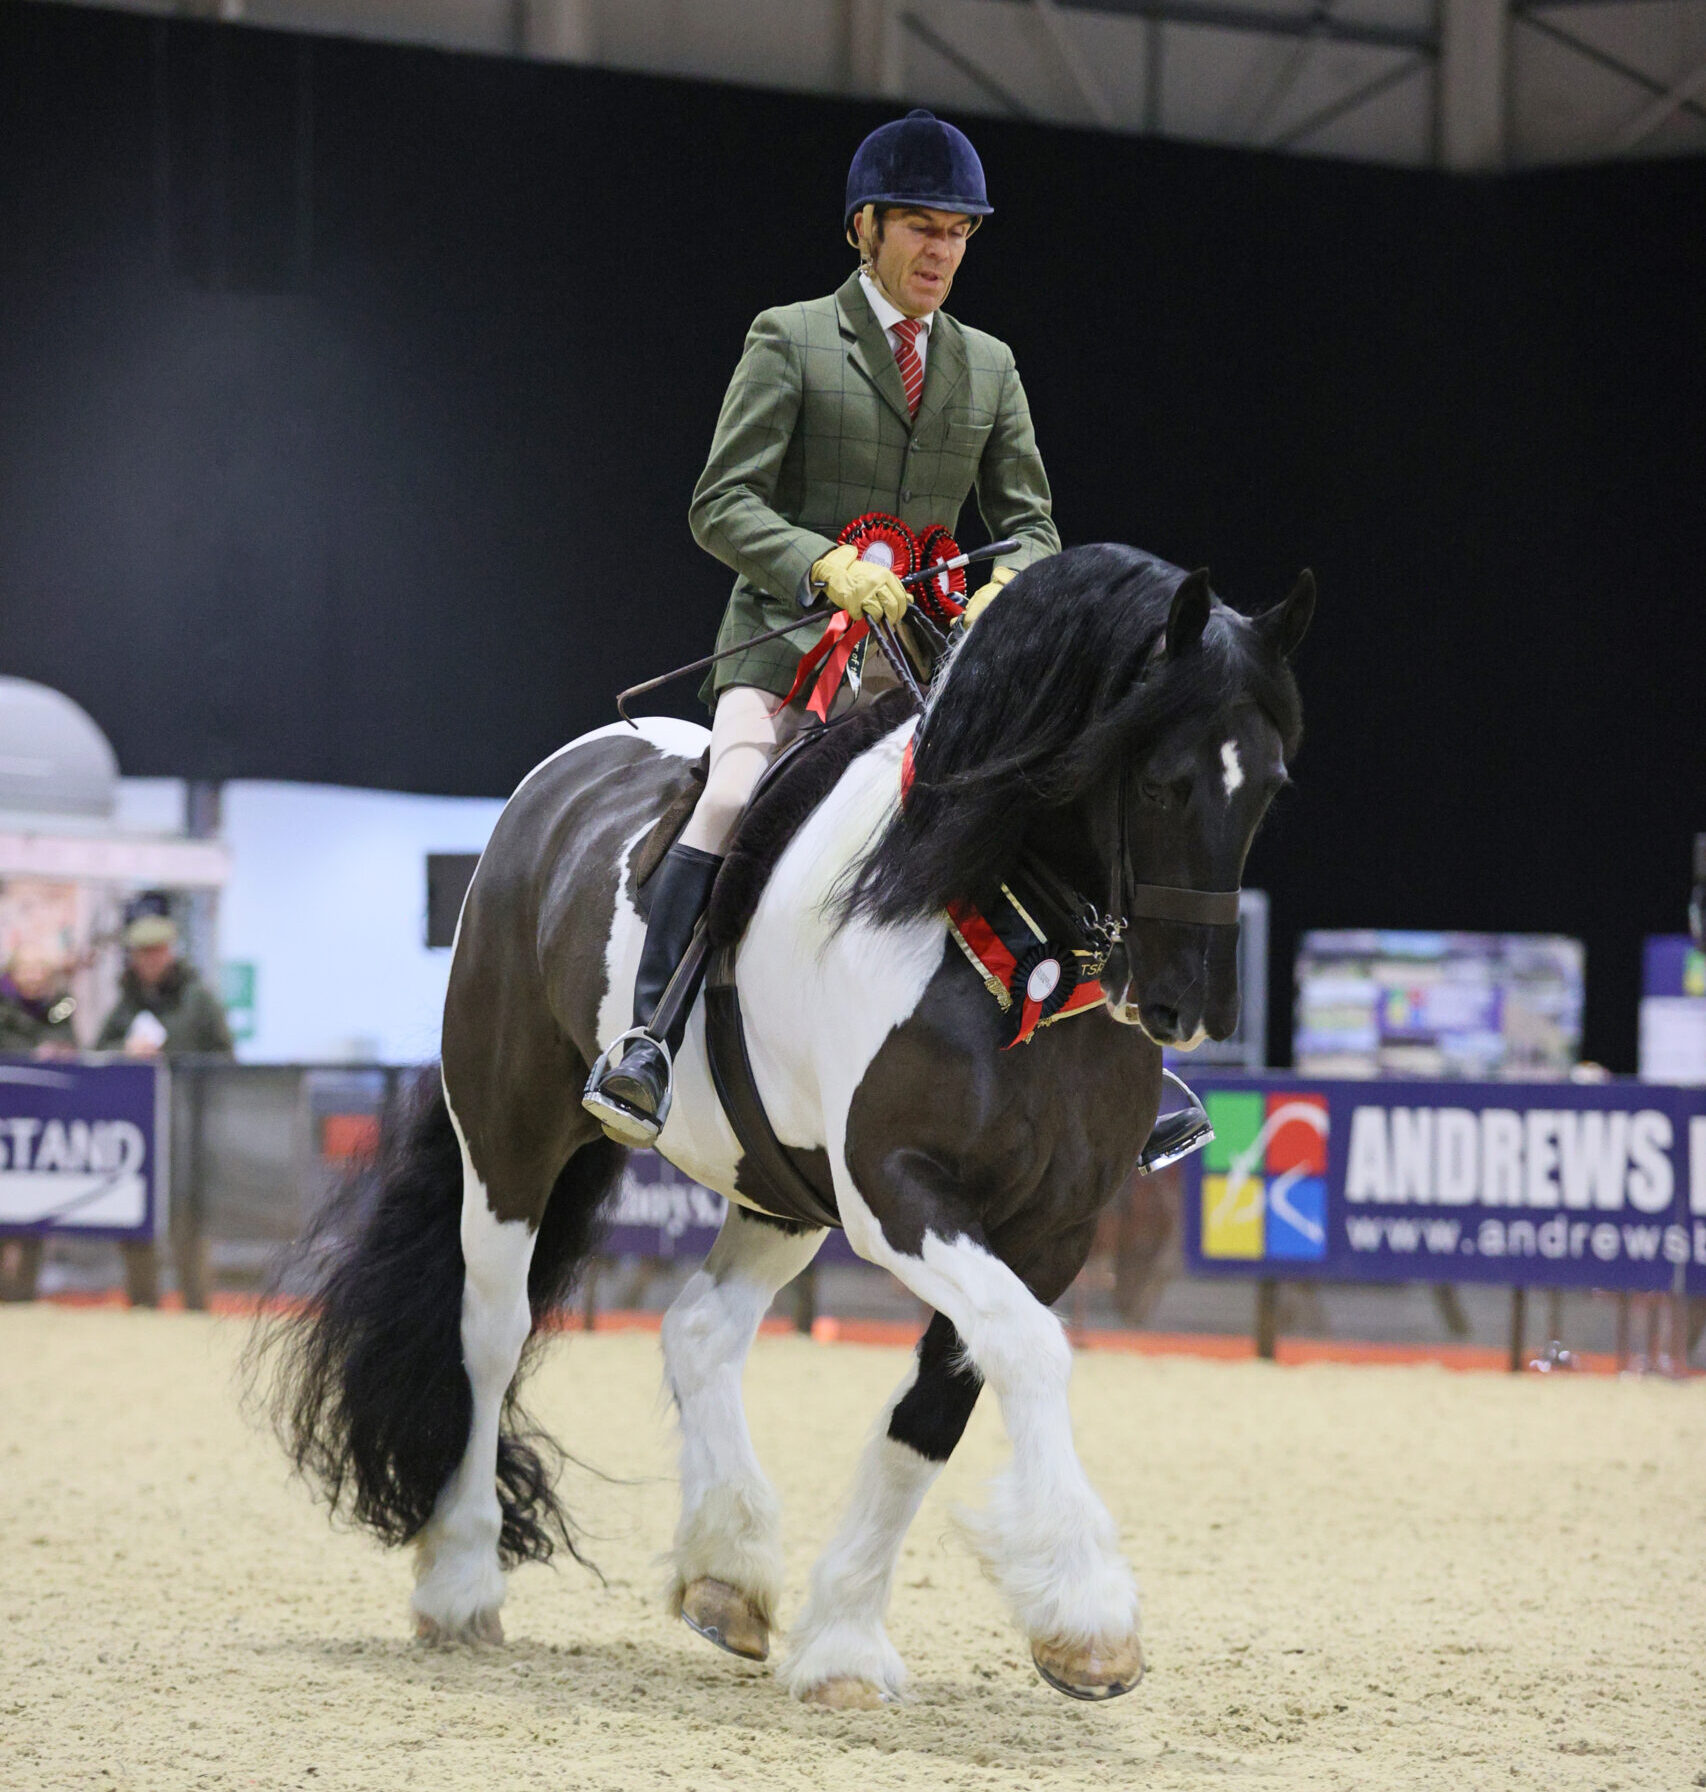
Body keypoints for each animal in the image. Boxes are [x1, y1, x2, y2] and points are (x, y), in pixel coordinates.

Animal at [262, 542, 1312, 1710]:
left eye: (1270, 786)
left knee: (699, 1328)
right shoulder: (897, 1191)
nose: (1189, 1007)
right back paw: (461, 1580)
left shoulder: (1048, 1227)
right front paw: (1085, 1610)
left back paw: (726, 1573)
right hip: (509, 1135)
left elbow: (936, 1409)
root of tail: (552, 790)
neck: (1002, 936)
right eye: (1160, 777)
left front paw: (846, 1636)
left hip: (778, 1185)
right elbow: (1028, 1351)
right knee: (489, 1336)